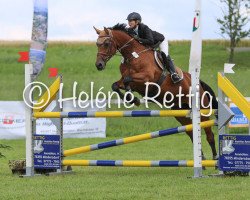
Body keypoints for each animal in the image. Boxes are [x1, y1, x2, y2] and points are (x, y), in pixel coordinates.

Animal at [94, 23, 219, 161]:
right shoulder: (130, 82)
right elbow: (116, 85)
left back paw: (215, 157)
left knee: (209, 134)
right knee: (191, 132)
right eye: (97, 44)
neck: (133, 55)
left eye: (106, 43)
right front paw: (132, 98)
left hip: (202, 111)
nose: (99, 65)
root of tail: (199, 83)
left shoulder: (146, 78)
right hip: (180, 112)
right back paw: (202, 157)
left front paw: (133, 98)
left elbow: (127, 80)